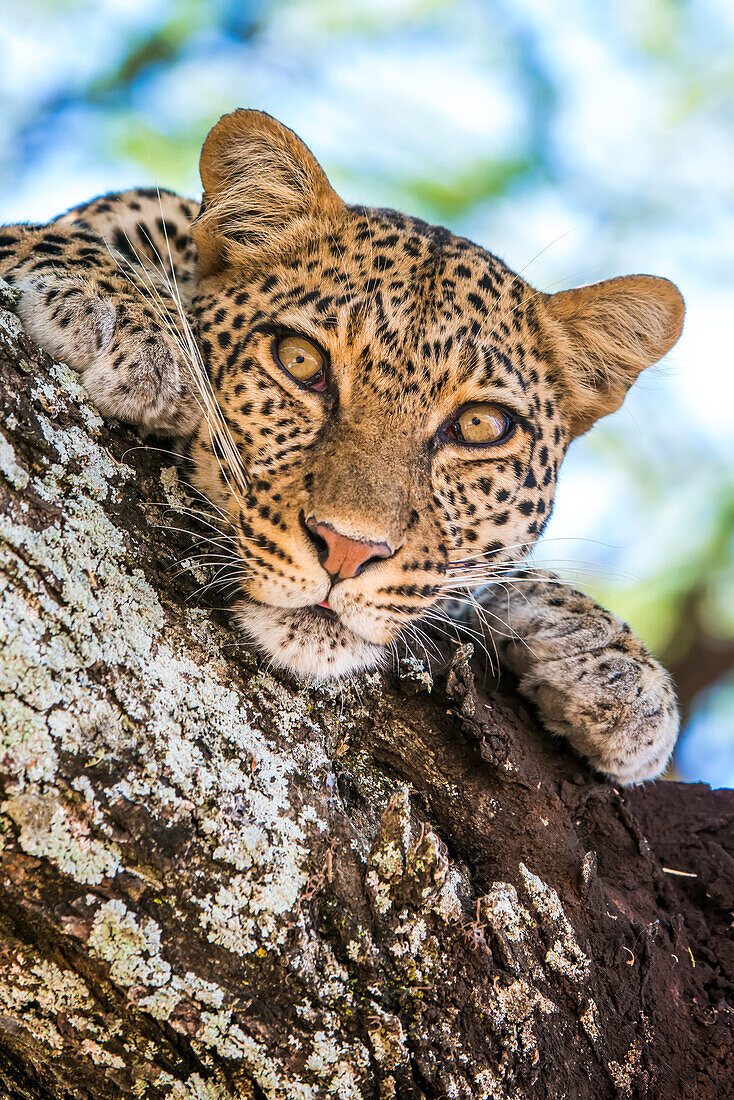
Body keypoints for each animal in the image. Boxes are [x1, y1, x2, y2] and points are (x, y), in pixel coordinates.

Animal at [0, 107, 686, 783]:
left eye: (479, 427)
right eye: (300, 362)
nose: (348, 551)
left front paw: (609, 659)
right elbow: (41, 234)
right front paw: (130, 320)